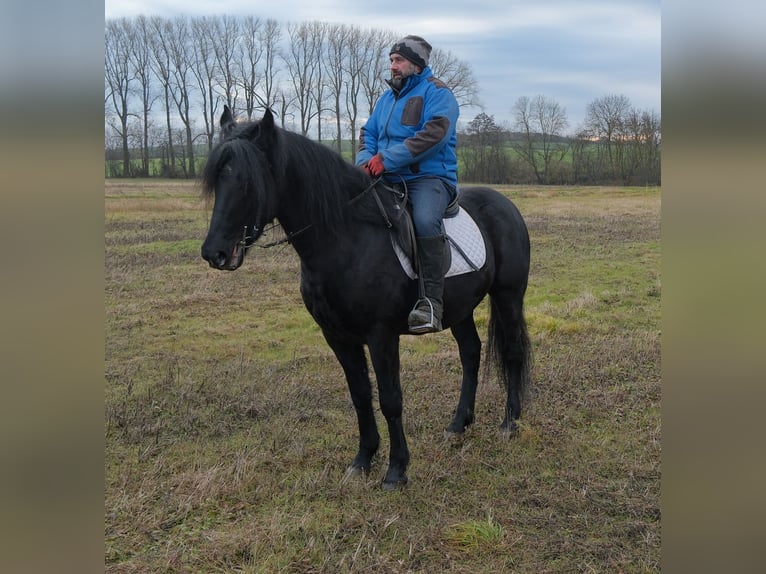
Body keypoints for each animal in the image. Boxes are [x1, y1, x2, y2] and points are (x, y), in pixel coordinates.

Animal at [201, 107, 531, 490]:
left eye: (247, 182)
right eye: (216, 180)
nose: (214, 253)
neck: (346, 238)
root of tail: (506, 205)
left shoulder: (381, 335)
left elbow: (390, 398)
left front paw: (396, 470)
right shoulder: (338, 337)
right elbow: (360, 395)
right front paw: (363, 460)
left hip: (508, 296)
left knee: (512, 352)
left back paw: (510, 422)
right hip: (459, 309)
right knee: (471, 354)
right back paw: (458, 424)